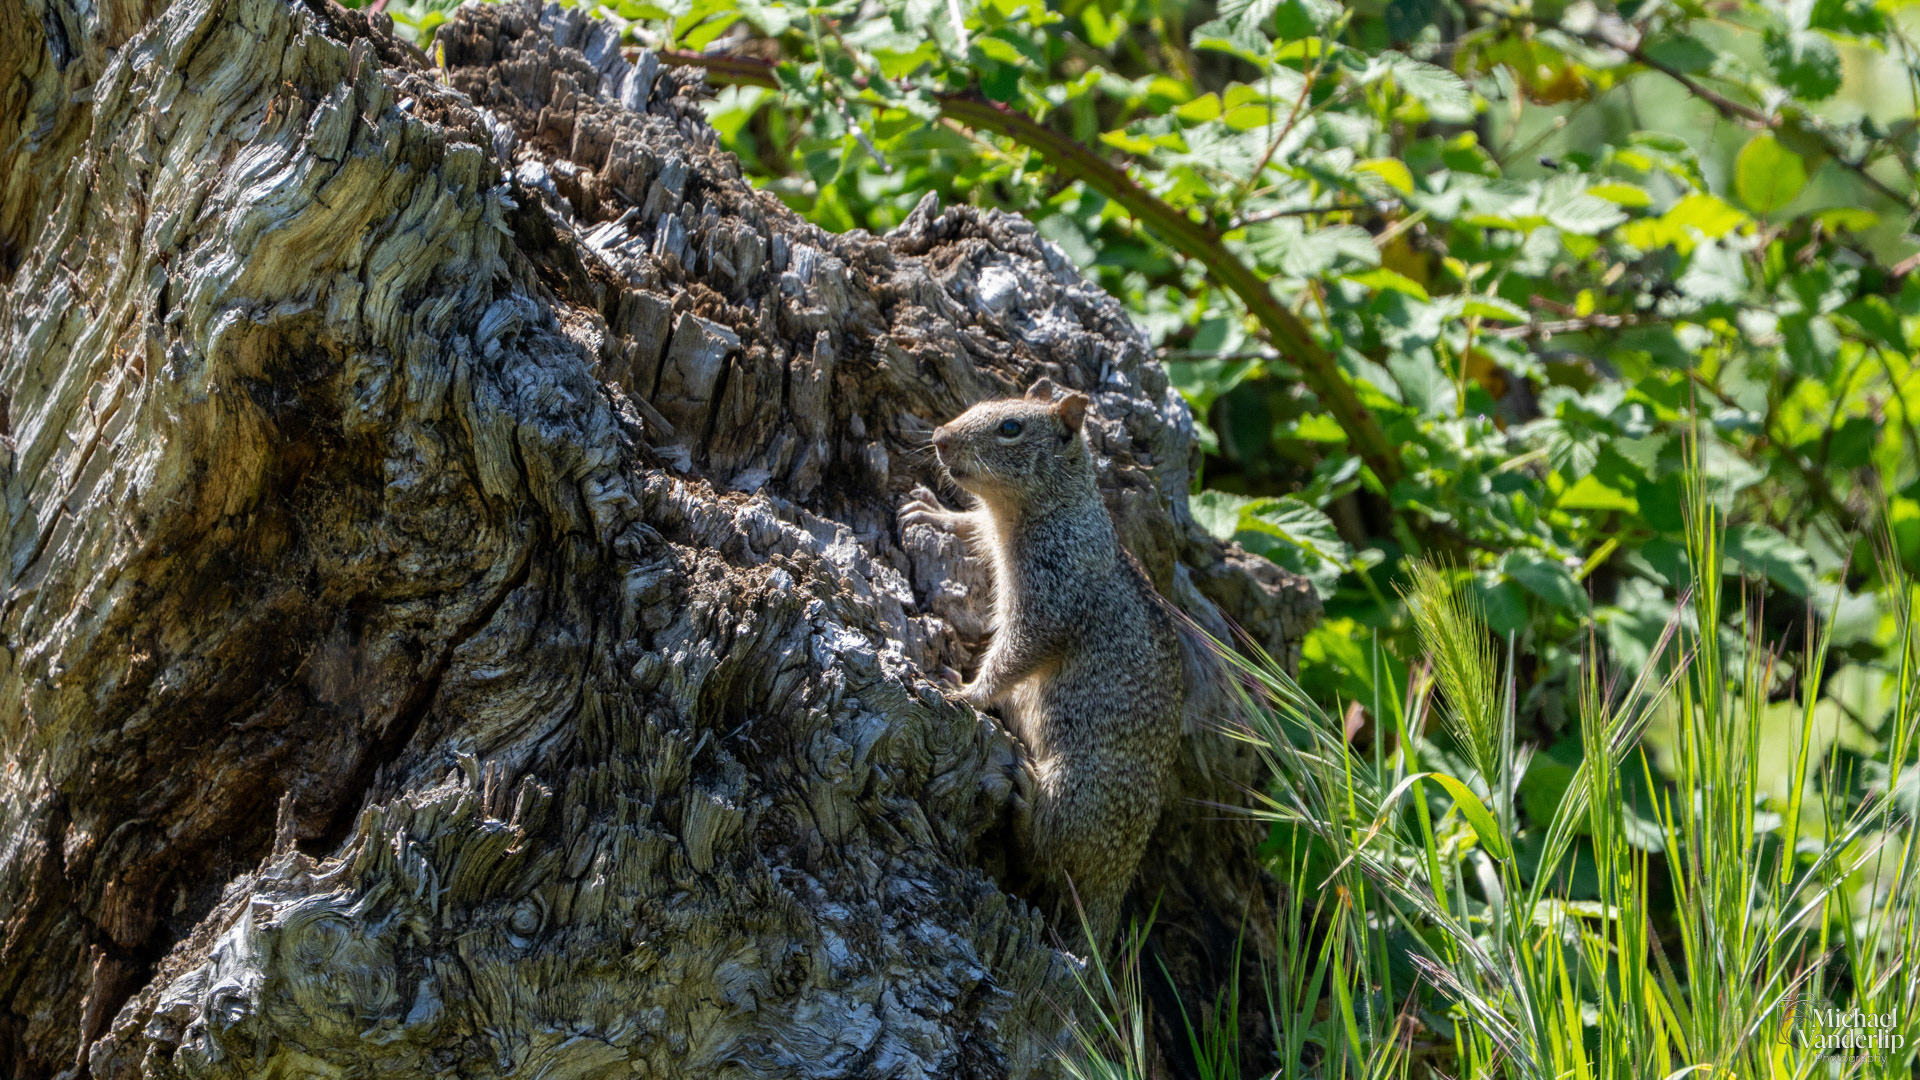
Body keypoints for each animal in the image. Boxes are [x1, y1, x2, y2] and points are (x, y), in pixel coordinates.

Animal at [899, 380, 1184, 951]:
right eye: (979, 404)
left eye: (1011, 427)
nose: (939, 437)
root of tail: (1118, 876)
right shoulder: (991, 530)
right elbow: (970, 525)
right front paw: (932, 511)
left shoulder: (1051, 598)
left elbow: (1017, 654)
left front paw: (968, 692)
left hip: (1078, 785)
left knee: (1049, 852)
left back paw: (1028, 806)